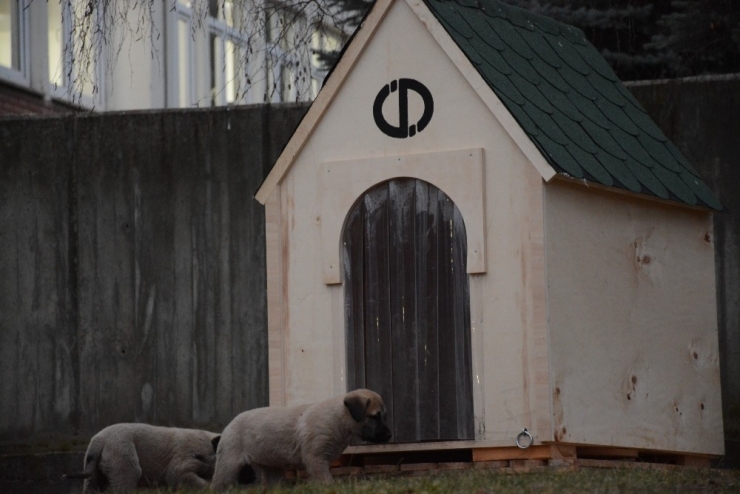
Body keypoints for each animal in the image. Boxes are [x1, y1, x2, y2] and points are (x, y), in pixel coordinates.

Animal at [64, 422, 220, 492]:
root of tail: (99, 442)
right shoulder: (189, 451)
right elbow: (176, 473)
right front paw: (209, 487)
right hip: (122, 448)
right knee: (128, 476)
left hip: (94, 462)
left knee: (92, 484)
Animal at [210, 388, 390, 488]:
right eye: (375, 417)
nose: (389, 436)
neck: (338, 418)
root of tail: (230, 423)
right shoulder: (316, 460)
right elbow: (327, 481)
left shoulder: (319, 462)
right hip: (228, 466)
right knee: (218, 485)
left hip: (272, 468)